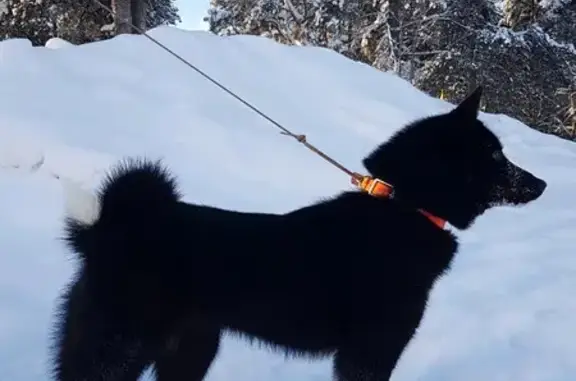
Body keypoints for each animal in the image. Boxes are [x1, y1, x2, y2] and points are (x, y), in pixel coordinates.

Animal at [49, 86, 544, 380]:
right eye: (495, 156)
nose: (541, 184)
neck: (404, 206)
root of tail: (111, 225)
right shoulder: (370, 352)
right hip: (120, 348)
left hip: (189, 348)